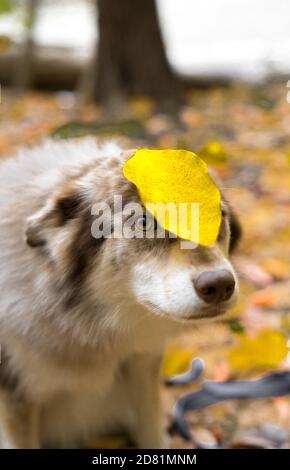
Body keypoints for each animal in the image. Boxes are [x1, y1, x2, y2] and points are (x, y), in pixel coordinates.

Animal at [0, 139, 240, 448]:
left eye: (216, 215)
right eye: (144, 222)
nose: (220, 285)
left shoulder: (142, 366)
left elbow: (152, 432)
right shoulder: (17, 402)